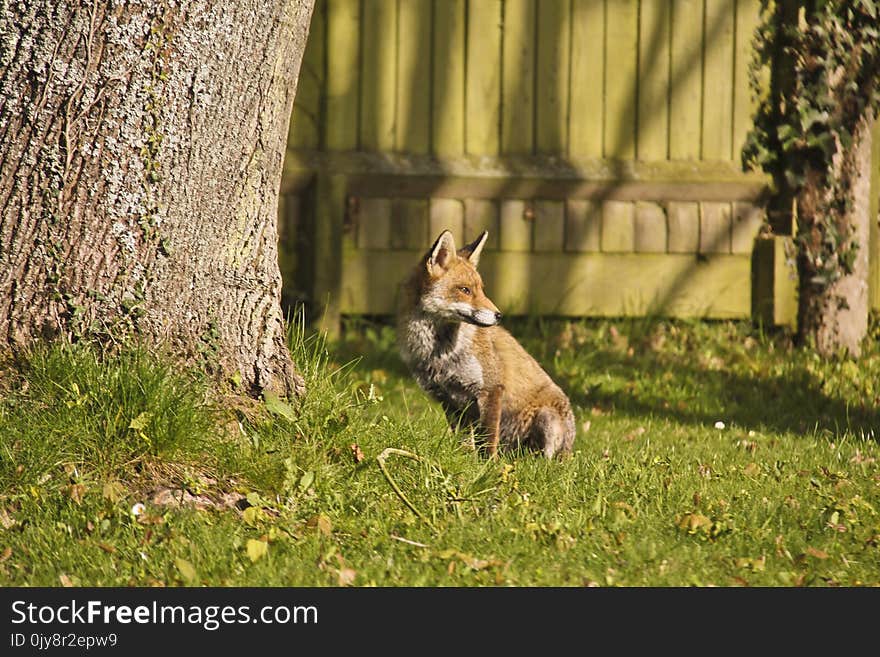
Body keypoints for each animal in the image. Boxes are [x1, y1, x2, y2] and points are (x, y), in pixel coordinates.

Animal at [398, 231, 576, 462]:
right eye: (465, 290)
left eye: (481, 290)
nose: (499, 315)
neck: (441, 355)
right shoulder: (449, 400)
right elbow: (464, 441)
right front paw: (465, 460)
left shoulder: (490, 389)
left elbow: (488, 439)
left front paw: (489, 465)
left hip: (547, 419)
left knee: (547, 460)